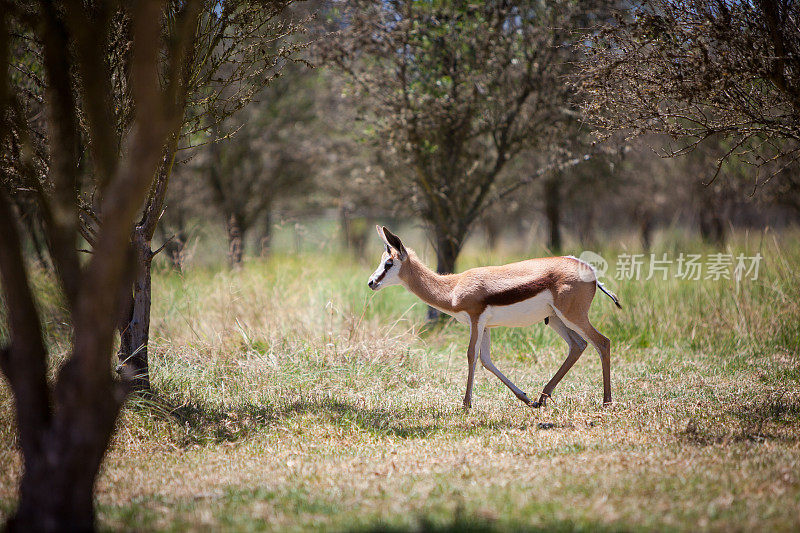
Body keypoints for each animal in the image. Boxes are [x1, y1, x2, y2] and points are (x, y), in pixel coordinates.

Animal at [370, 223, 624, 408]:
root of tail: (590, 270)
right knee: (578, 345)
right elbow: (486, 360)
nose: (372, 282)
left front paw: (466, 405)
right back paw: (541, 398)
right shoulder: (486, 326)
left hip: (573, 316)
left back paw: (606, 401)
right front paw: (524, 397)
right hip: (555, 319)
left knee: (603, 342)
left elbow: (471, 356)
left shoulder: (475, 320)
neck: (453, 287)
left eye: (389, 262)